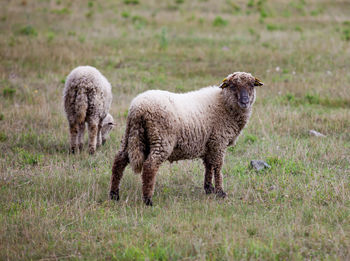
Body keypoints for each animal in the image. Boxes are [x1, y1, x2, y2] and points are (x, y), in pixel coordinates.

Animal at [109, 71, 262, 205]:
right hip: (161, 139)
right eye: (232, 86)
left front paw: (209, 189)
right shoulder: (219, 141)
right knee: (150, 166)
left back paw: (114, 195)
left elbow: (209, 166)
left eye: (251, 85)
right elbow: (218, 167)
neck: (224, 103)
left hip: (131, 135)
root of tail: (138, 108)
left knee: (119, 161)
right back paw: (148, 200)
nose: (245, 101)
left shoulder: (209, 143)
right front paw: (220, 192)